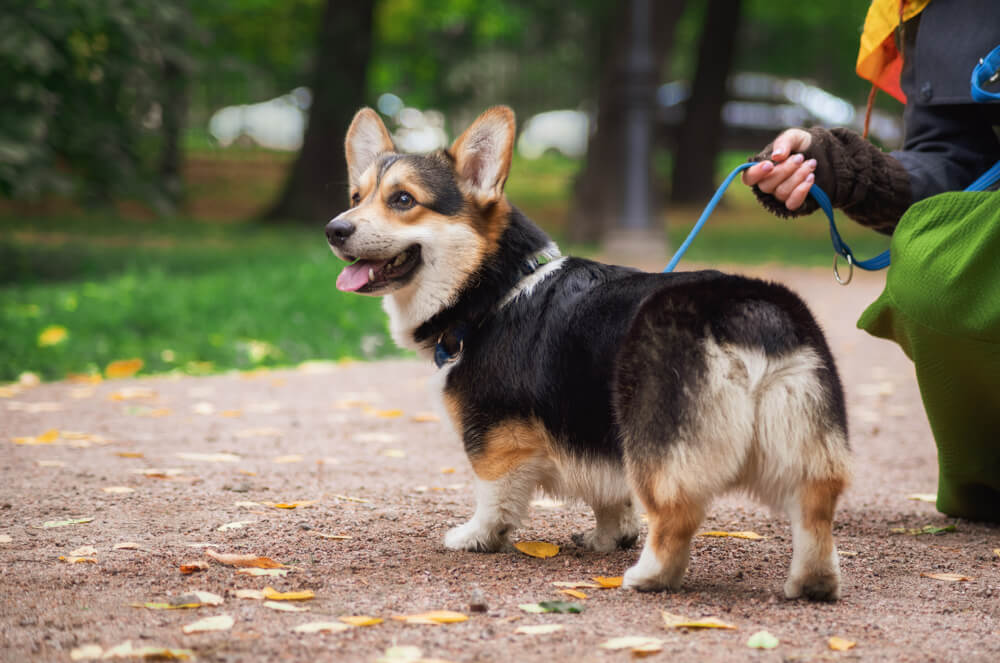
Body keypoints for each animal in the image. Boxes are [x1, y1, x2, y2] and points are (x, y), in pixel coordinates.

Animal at [328, 106, 852, 600]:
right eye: (356, 197)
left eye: (403, 200)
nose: (334, 229)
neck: (493, 289)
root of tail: (749, 309)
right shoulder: (593, 433)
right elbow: (610, 499)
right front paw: (607, 538)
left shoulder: (495, 439)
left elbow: (493, 498)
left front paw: (476, 537)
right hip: (806, 442)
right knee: (815, 510)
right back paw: (813, 583)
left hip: (658, 443)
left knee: (676, 515)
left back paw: (647, 576)